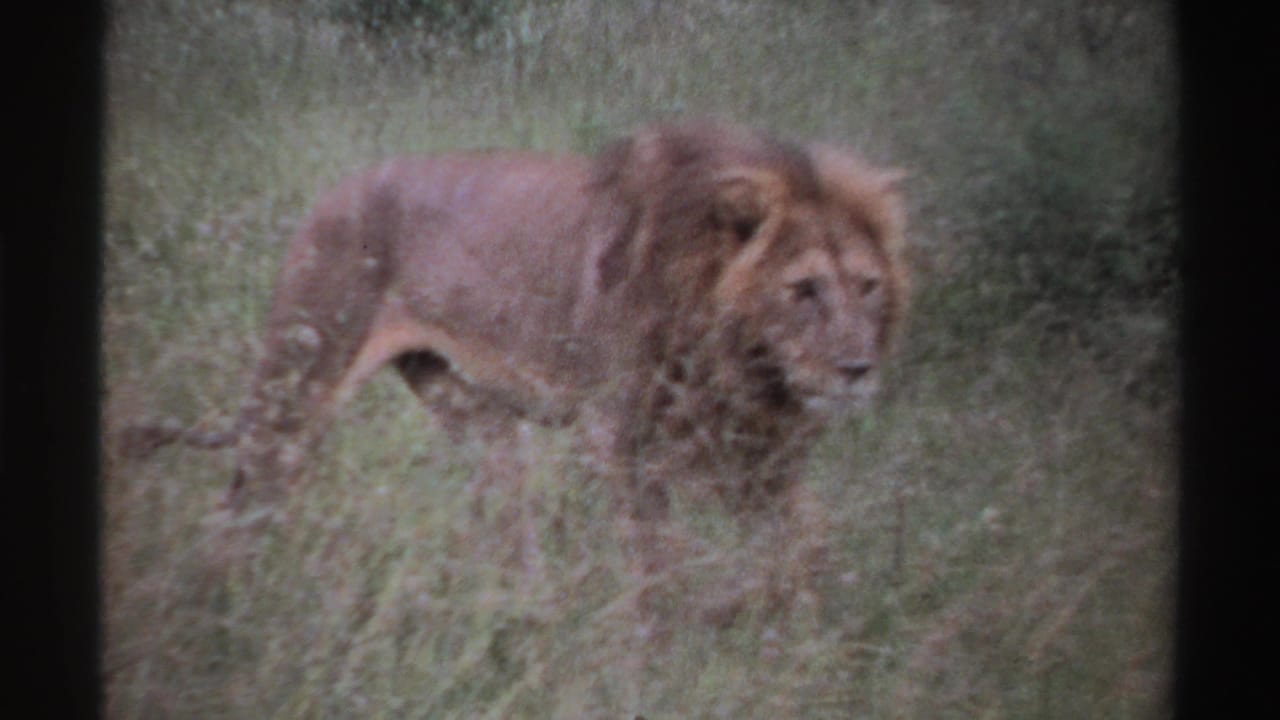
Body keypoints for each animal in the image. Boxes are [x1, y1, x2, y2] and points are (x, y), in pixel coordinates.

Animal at [130, 119, 907, 606]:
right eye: (803, 290)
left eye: (868, 286)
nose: (858, 369)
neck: (738, 355)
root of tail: (331, 195)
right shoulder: (616, 436)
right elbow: (657, 564)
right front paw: (668, 650)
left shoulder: (753, 454)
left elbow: (809, 544)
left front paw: (778, 621)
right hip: (299, 387)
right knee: (238, 508)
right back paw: (228, 618)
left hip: (477, 418)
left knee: (510, 536)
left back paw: (532, 617)